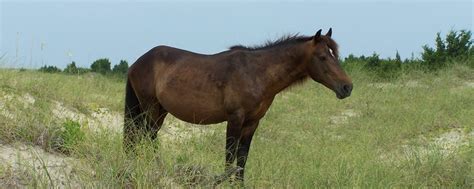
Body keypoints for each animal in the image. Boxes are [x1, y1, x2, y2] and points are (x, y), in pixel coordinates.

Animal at [123, 28, 352, 184]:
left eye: (336, 54)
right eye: (323, 57)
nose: (347, 87)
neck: (256, 73)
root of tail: (137, 63)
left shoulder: (252, 123)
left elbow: (242, 159)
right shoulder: (235, 119)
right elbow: (229, 157)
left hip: (160, 110)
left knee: (143, 136)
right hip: (150, 108)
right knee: (146, 136)